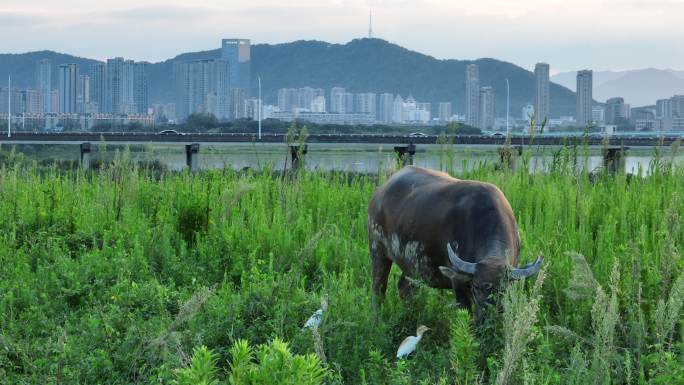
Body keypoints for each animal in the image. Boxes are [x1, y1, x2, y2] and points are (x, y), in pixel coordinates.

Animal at [366, 165, 544, 318]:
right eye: (476, 287)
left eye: (502, 290)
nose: (487, 317)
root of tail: (380, 192)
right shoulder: (457, 282)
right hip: (377, 251)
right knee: (378, 289)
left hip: (413, 266)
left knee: (404, 288)